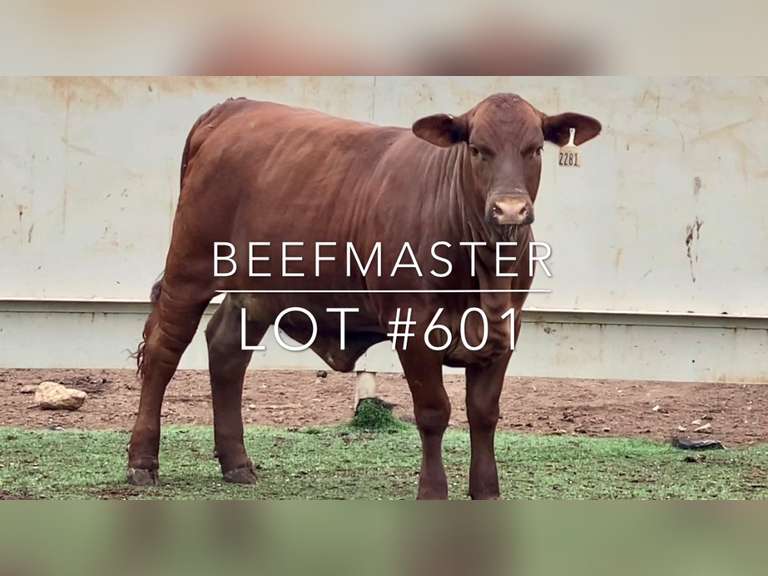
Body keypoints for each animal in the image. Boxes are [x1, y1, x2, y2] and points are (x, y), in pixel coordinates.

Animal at [129, 93, 601, 499]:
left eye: (534, 149)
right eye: (477, 149)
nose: (509, 210)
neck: (482, 271)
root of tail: (231, 108)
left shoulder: (505, 330)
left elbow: (484, 413)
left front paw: (486, 490)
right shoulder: (413, 329)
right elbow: (434, 411)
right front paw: (433, 491)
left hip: (256, 290)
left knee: (227, 350)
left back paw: (237, 463)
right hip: (189, 268)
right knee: (163, 351)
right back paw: (142, 462)